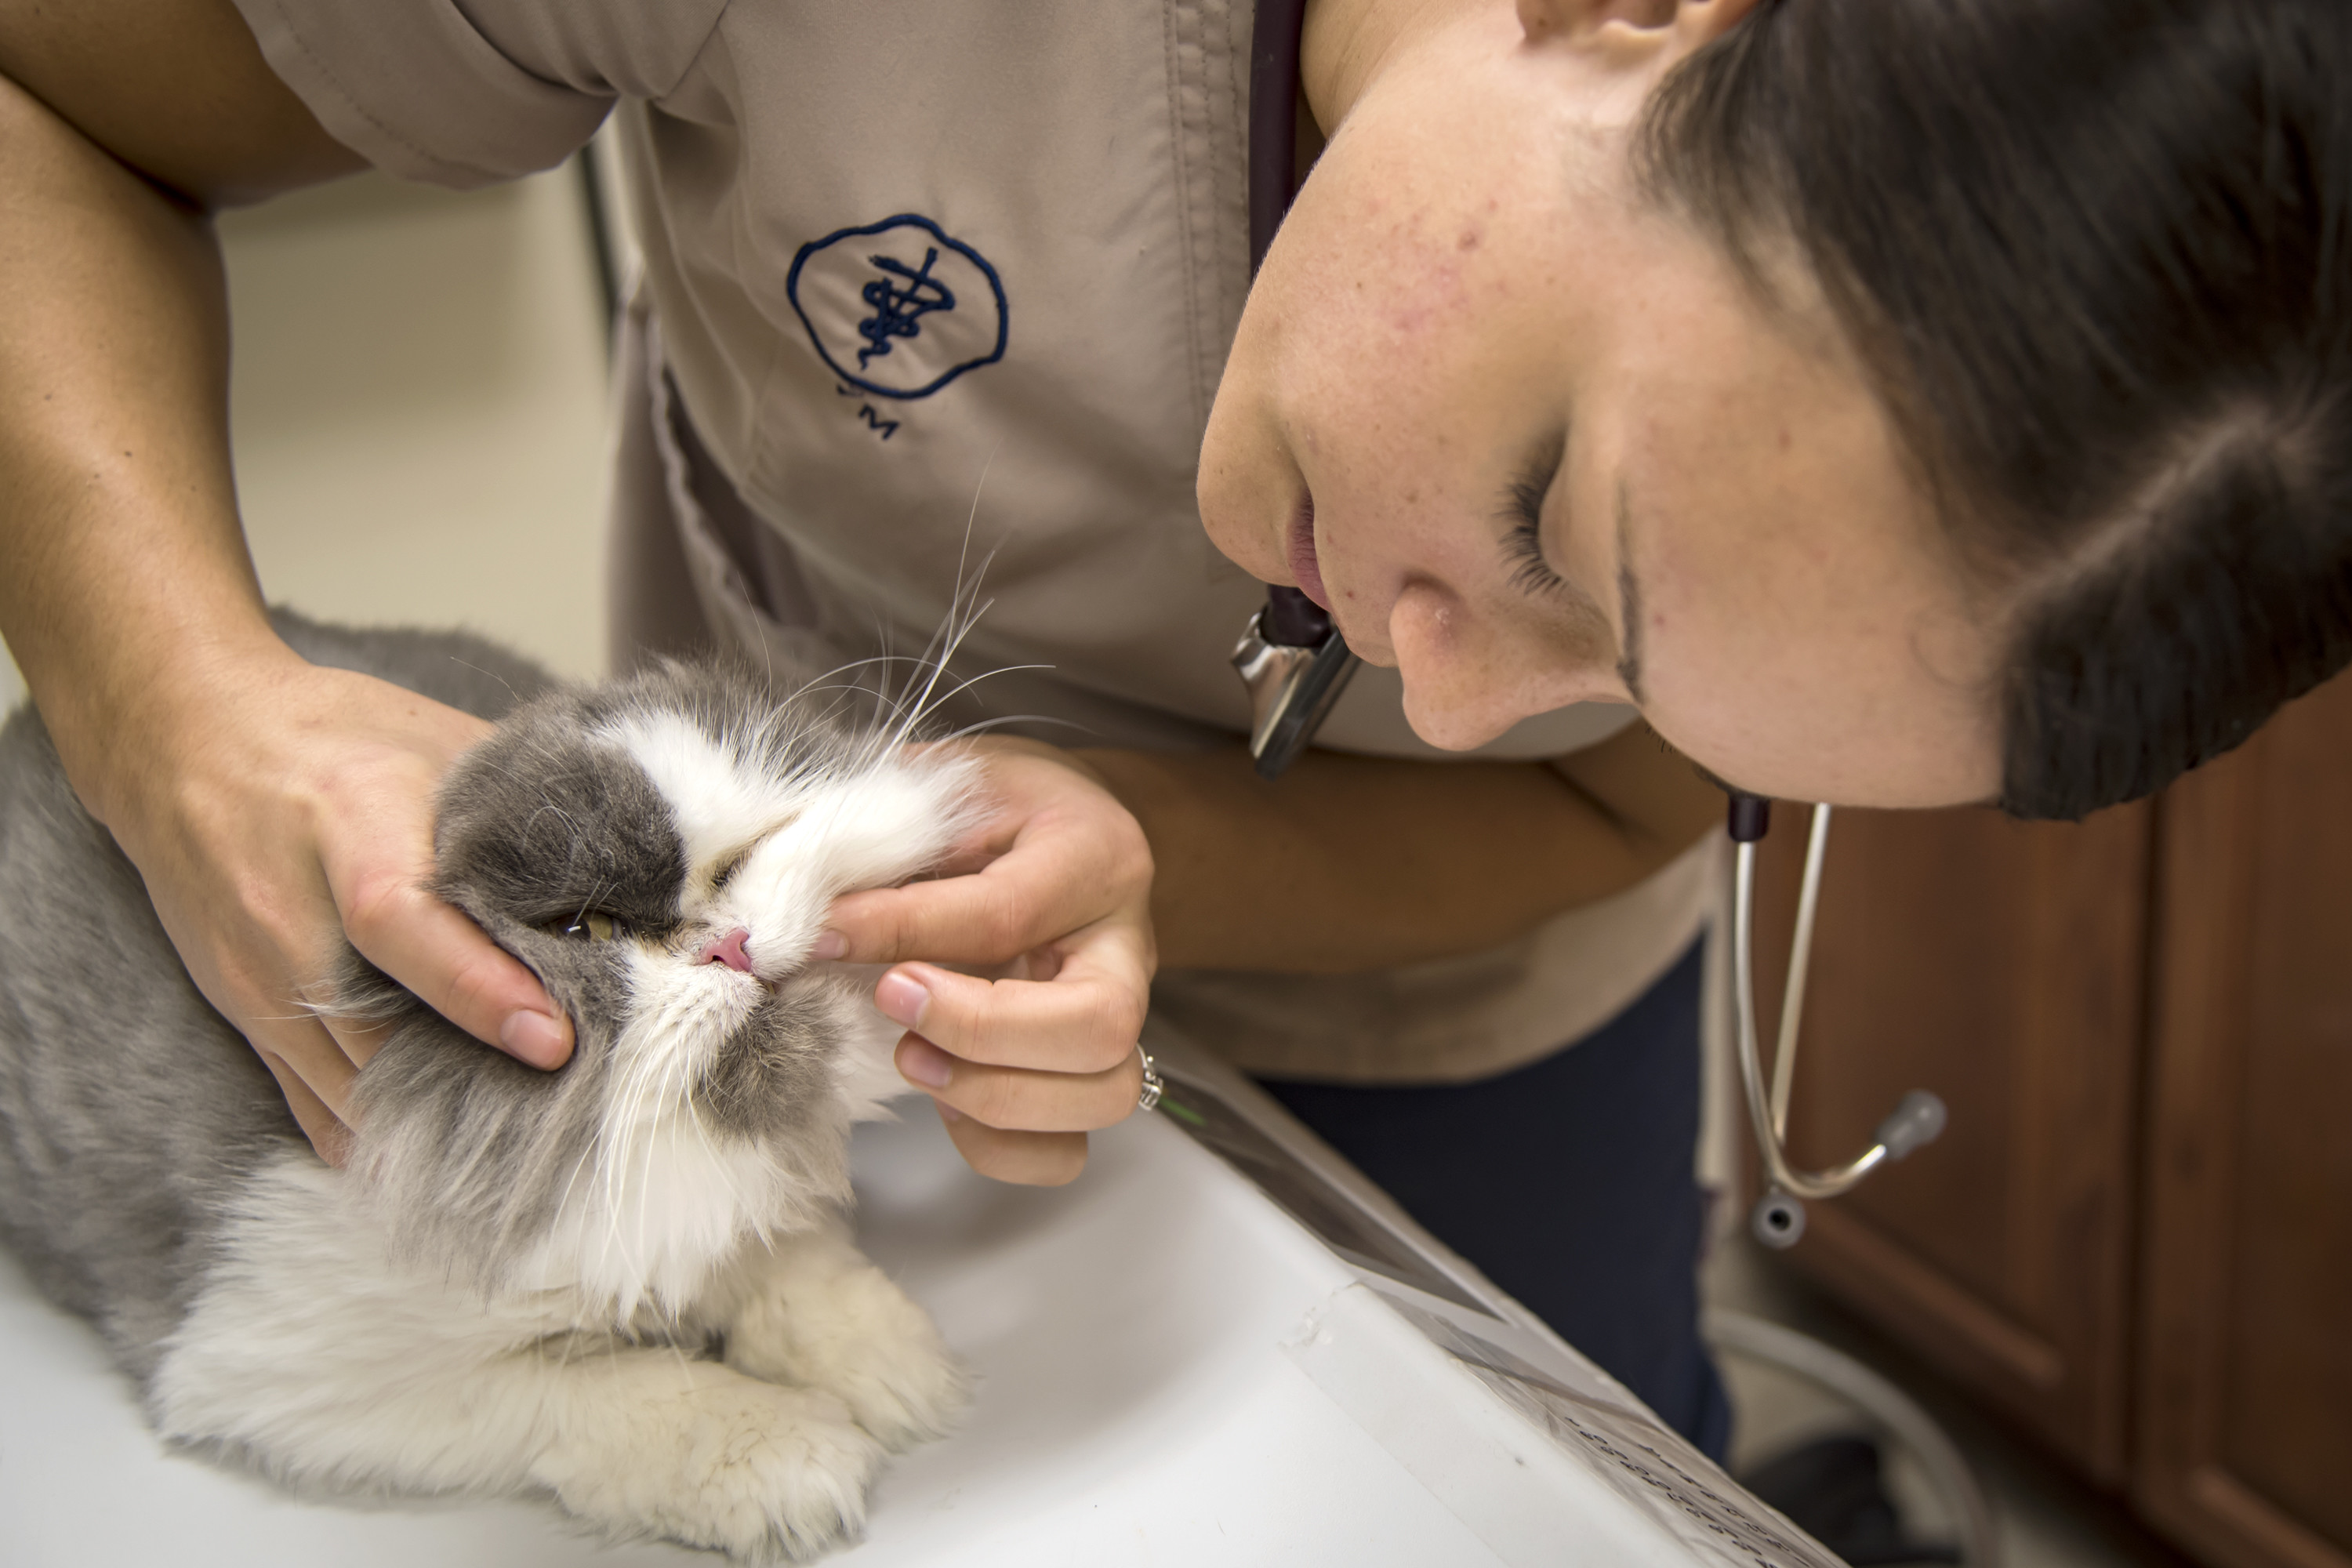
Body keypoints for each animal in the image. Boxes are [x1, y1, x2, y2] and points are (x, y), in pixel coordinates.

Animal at [0, 611, 983, 1561]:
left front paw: (897, 1366)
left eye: (740, 858)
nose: (727, 946)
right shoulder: (277, 1367)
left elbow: (788, 1262)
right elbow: (609, 1392)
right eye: (585, 931)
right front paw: (793, 1453)